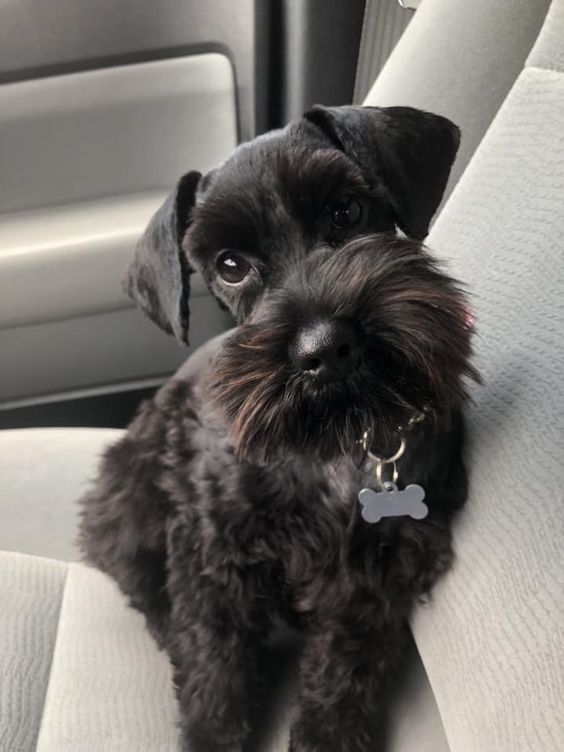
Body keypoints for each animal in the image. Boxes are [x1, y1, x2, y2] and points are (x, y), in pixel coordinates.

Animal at [79, 107, 478, 752]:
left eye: (346, 211)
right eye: (230, 265)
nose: (325, 348)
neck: (340, 443)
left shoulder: (376, 569)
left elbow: (343, 672)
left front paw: (327, 736)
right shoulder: (213, 547)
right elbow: (214, 669)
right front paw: (210, 733)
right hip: (128, 500)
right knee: (142, 586)